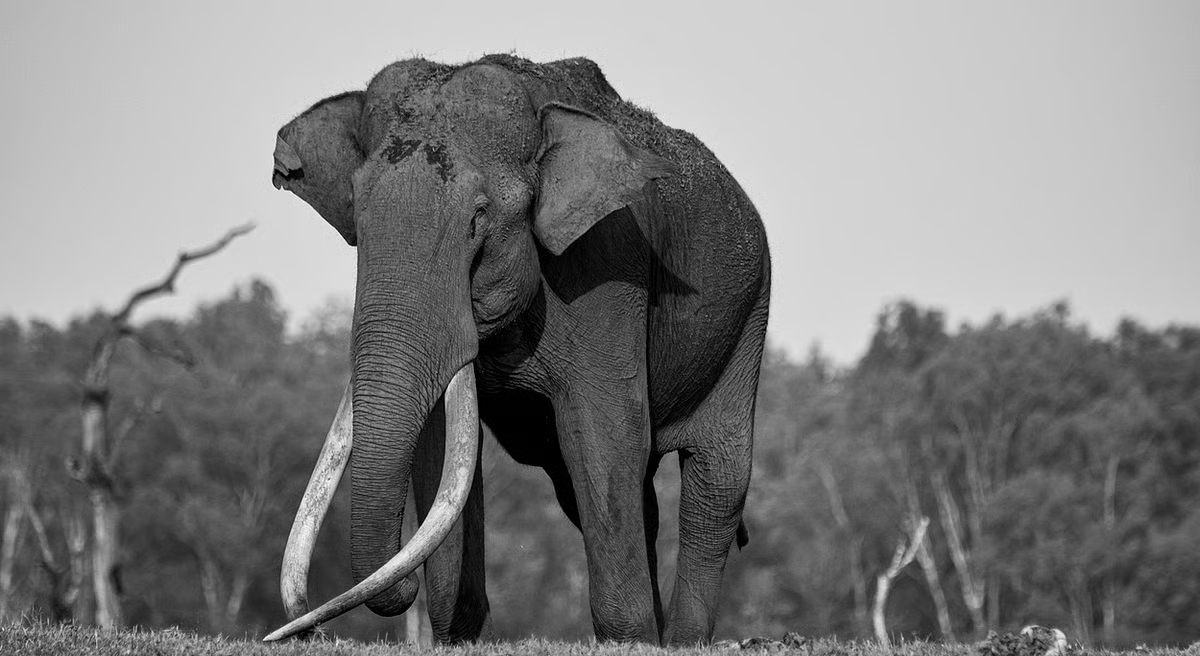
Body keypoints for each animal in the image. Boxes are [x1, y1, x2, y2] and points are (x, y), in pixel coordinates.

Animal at [264, 54, 771, 646]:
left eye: (478, 219)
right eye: (357, 218)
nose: (306, 628)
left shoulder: (607, 266)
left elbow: (602, 437)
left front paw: (628, 639)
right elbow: (443, 450)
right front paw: (458, 635)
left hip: (748, 316)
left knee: (716, 482)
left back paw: (682, 639)